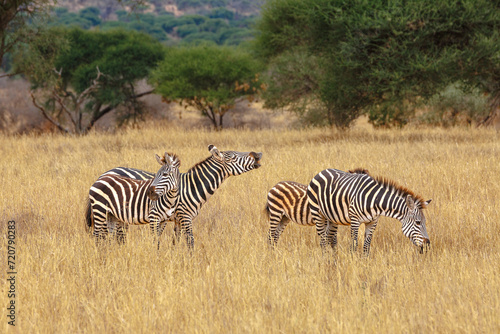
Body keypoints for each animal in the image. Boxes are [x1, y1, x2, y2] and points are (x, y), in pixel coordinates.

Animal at [97, 145, 262, 248]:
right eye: (233, 157)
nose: (258, 155)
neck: (191, 186)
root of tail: (104, 174)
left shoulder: (177, 219)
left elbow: (175, 242)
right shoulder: (184, 216)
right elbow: (190, 241)